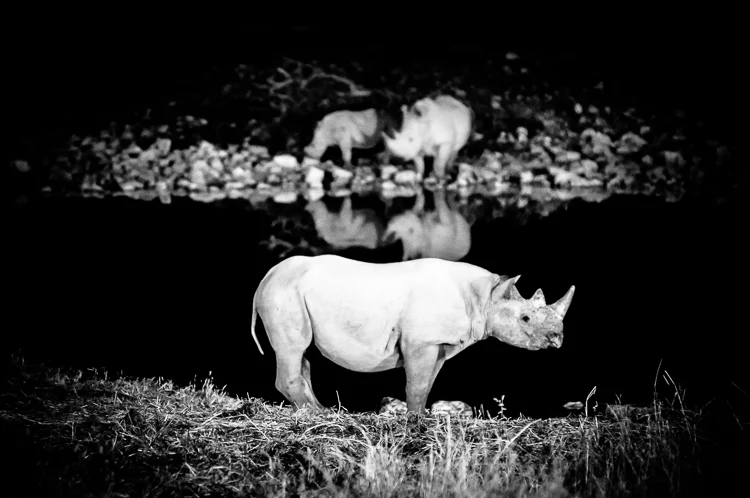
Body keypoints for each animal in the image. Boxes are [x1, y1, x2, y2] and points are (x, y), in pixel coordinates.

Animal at [251, 255, 575, 414]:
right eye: (525, 318)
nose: (557, 338)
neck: (484, 297)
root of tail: (266, 277)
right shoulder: (422, 341)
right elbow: (417, 384)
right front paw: (415, 421)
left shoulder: (441, 344)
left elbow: (426, 383)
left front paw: (421, 416)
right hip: (284, 292)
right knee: (293, 349)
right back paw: (316, 415)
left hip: (291, 289)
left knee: (301, 354)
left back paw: (321, 410)